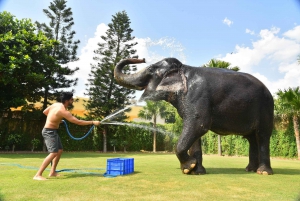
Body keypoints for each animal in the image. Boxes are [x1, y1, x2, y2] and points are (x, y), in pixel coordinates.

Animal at [113, 57, 274, 175]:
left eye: (151, 70)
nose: (141, 58)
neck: (184, 68)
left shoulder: (197, 96)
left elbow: (199, 125)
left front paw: (188, 167)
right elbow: (195, 132)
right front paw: (195, 171)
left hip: (265, 109)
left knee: (262, 136)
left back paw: (263, 172)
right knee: (252, 138)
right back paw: (249, 170)